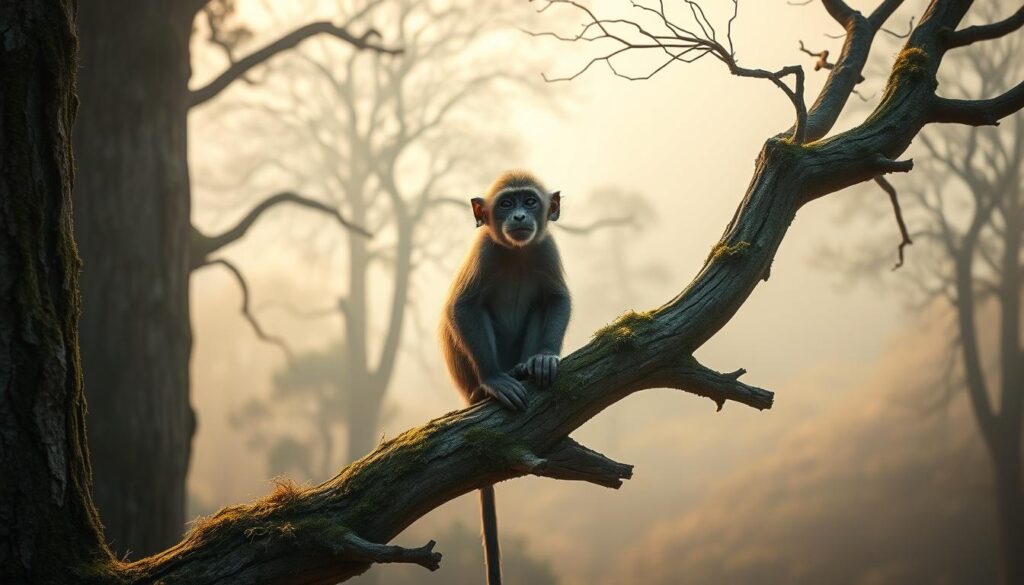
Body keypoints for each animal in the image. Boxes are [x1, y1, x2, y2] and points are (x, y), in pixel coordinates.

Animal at [439, 170, 572, 585]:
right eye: (506, 204)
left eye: (529, 201)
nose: (518, 217)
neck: (515, 252)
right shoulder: (485, 250)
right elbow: (463, 306)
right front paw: (495, 380)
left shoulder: (547, 249)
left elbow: (557, 299)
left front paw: (543, 358)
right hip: (466, 376)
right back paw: (493, 385)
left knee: (539, 304)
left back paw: (525, 368)